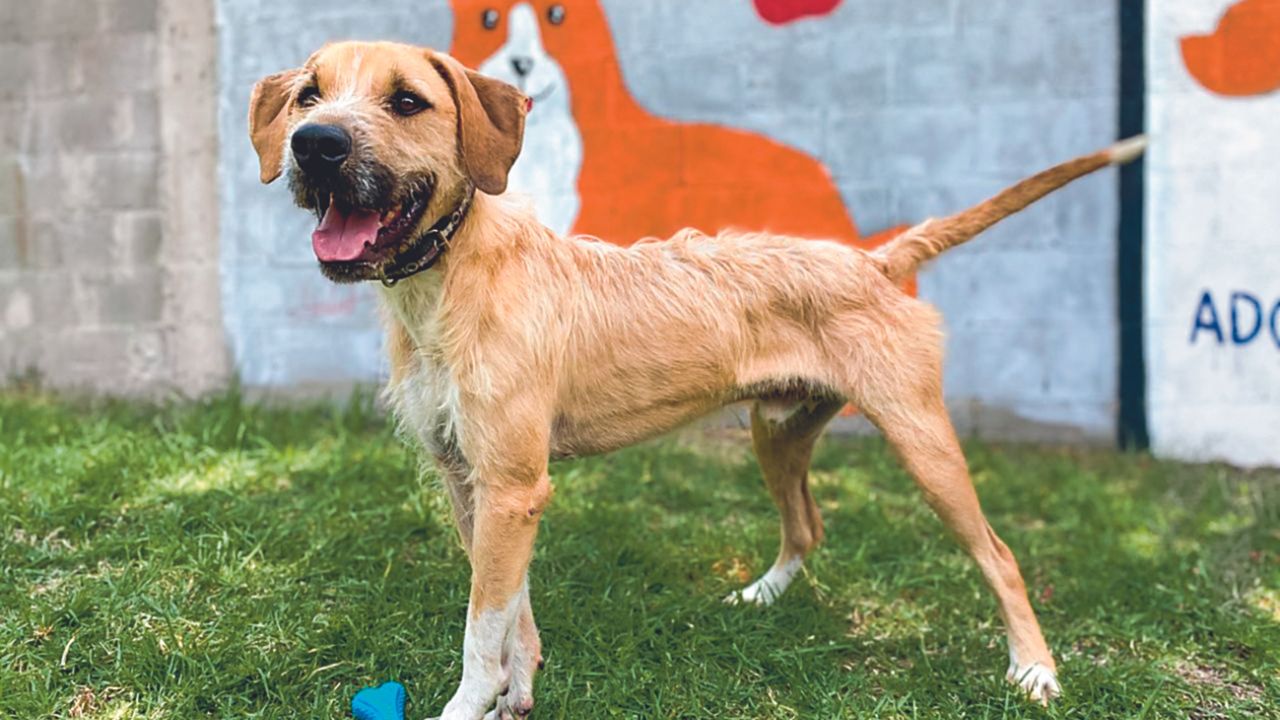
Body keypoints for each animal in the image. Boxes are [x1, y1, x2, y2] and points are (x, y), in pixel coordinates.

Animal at [247, 40, 1141, 717]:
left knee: (999, 553)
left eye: (407, 101)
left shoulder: (510, 486)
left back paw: (1034, 670)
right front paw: (519, 693)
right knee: (808, 526)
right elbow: (512, 615)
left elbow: (481, 628)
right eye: (309, 94)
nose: (316, 144)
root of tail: (877, 260)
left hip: (922, 441)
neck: (451, 277)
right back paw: (761, 598)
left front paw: (474, 704)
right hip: (776, 432)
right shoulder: (474, 482)